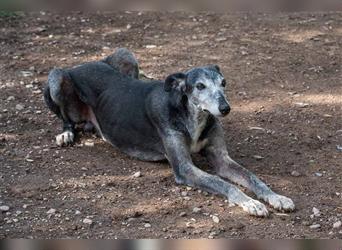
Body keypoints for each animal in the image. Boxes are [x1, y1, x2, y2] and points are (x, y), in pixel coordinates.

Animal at [44, 47, 294, 216]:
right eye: (200, 86)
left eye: (223, 83)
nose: (225, 108)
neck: (192, 116)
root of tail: (84, 63)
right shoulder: (185, 169)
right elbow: (224, 183)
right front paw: (250, 203)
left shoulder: (222, 159)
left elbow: (253, 178)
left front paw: (276, 197)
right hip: (57, 77)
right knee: (65, 117)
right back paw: (66, 133)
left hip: (126, 55)